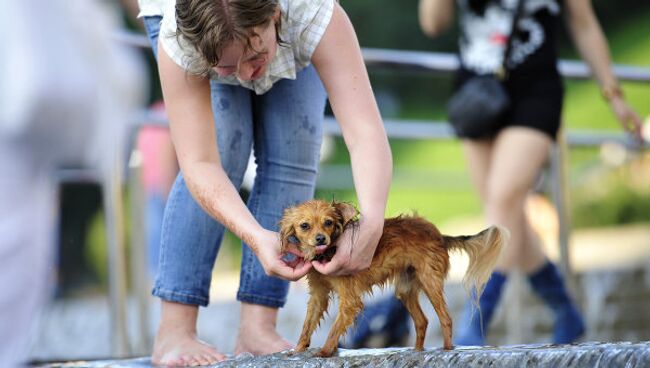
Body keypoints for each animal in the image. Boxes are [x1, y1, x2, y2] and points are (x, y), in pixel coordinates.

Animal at [278, 200, 506, 358]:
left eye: (328, 223)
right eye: (305, 226)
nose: (320, 239)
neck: (327, 252)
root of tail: (440, 235)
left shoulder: (350, 301)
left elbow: (335, 329)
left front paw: (325, 352)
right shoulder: (318, 296)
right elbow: (307, 325)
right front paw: (297, 350)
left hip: (430, 282)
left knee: (446, 318)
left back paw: (447, 349)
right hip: (405, 289)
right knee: (422, 321)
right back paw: (417, 351)